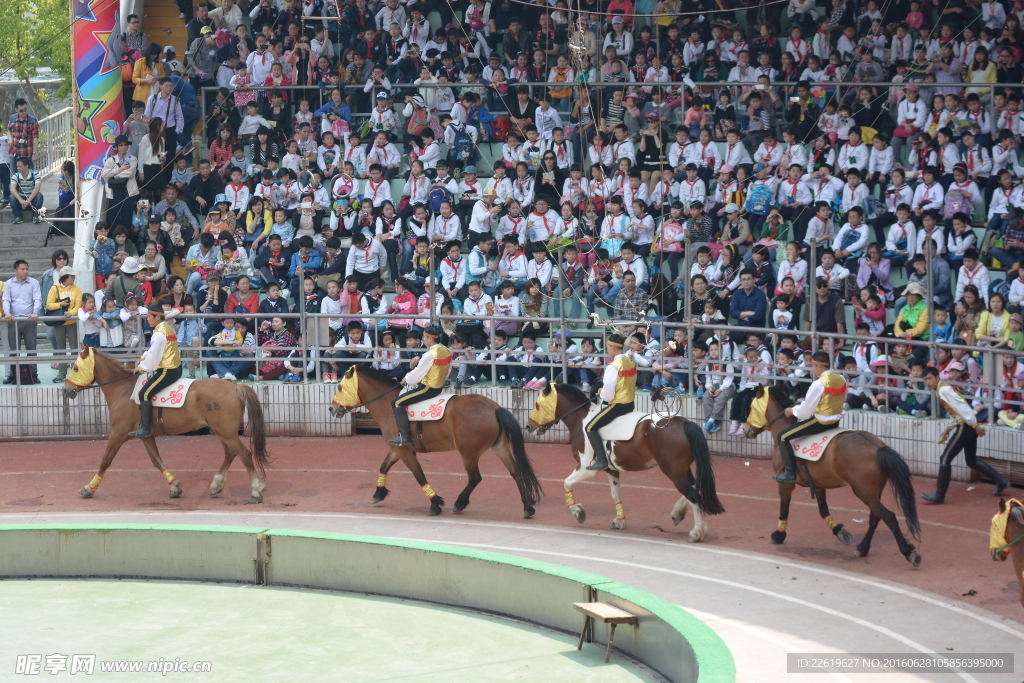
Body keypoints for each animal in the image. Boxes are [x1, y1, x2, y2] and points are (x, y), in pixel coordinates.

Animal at [59, 348, 268, 501]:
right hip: (223, 432)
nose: (65, 390)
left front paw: (89, 488)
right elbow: (156, 460)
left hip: (226, 433)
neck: (123, 389)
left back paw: (255, 491)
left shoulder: (118, 434)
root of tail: (236, 387)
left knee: (245, 455)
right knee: (230, 454)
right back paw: (217, 485)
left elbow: (105, 460)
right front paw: (174, 486)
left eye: (75, 368)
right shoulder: (146, 435)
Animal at [331, 366, 548, 516]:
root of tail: (494, 407)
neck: (388, 404)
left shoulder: (406, 452)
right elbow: (384, 466)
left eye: (340, 387)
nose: (332, 409)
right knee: (516, 472)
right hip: (500, 447)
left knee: (475, 477)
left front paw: (435, 503)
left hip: (468, 452)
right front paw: (378, 493)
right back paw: (527, 507)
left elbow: (419, 476)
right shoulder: (397, 448)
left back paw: (460, 503)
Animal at [524, 385, 724, 540]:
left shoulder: (586, 468)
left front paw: (578, 512)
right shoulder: (611, 470)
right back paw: (678, 513)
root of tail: (684, 422)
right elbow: (616, 494)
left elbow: (566, 483)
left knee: (693, 494)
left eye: (537, 405)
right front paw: (619, 521)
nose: (528, 426)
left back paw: (697, 532)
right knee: (694, 487)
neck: (582, 420)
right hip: (681, 470)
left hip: (673, 471)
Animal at [741, 385, 925, 565]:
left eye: (750, 407)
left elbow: (784, 509)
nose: (745, 429)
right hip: (873, 492)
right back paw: (862, 548)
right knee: (875, 516)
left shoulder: (785, 484)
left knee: (888, 516)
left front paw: (778, 535)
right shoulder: (818, 485)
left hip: (863, 491)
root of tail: (878, 448)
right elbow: (823, 510)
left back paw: (907, 552)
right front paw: (839, 531)